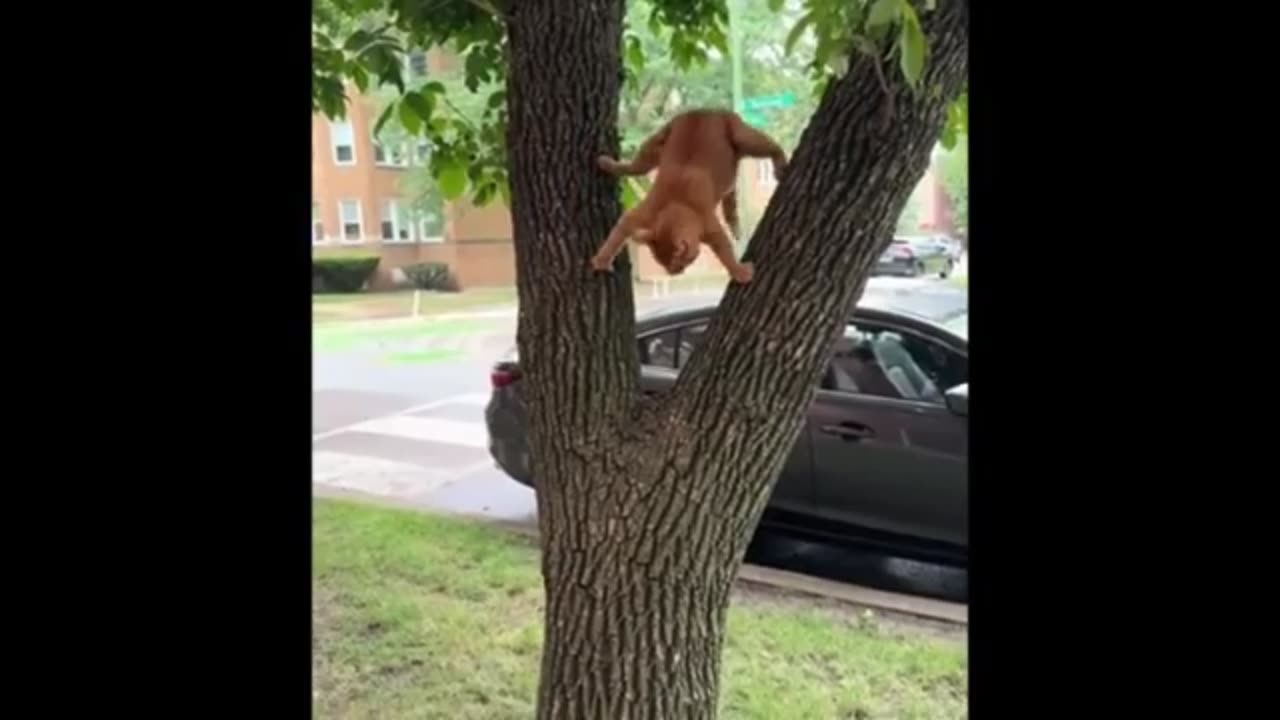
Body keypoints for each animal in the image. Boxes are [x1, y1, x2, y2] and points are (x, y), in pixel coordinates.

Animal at [591, 107, 788, 281]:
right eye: (661, 263)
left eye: (678, 264)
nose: (673, 274)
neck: (678, 203)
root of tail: (703, 110)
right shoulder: (637, 217)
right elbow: (614, 237)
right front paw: (601, 259)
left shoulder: (713, 230)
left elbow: (725, 253)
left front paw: (738, 272)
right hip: (655, 146)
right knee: (632, 167)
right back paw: (608, 164)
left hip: (744, 138)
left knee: (772, 147)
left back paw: (780, 165)